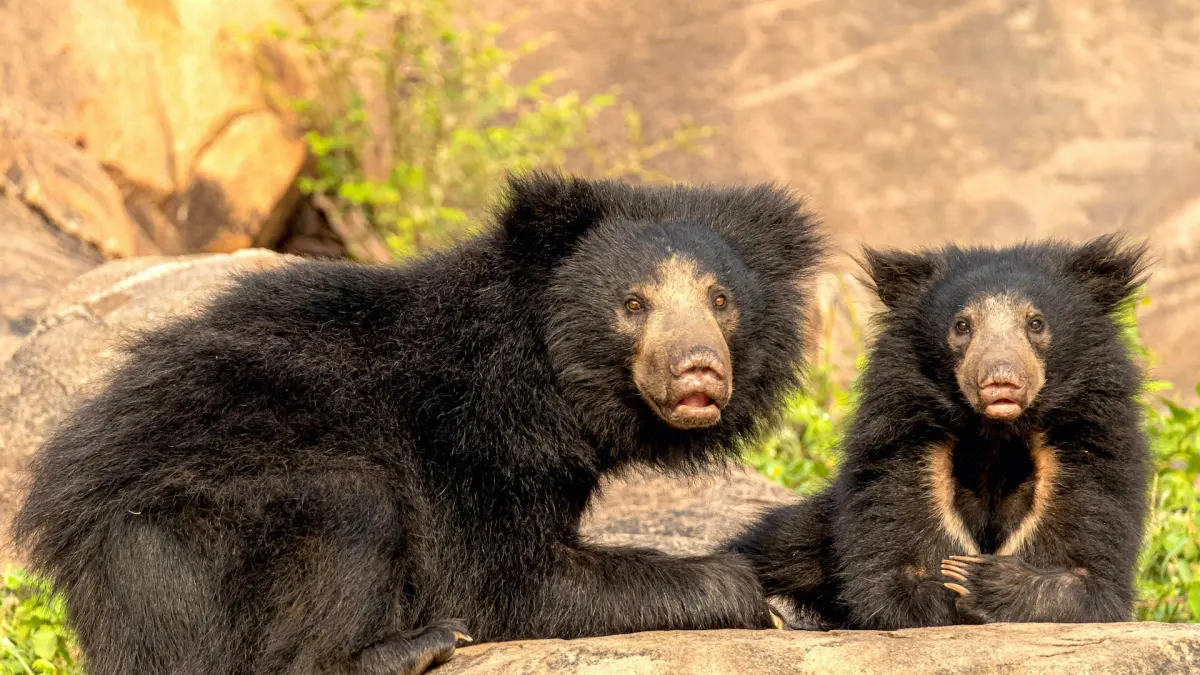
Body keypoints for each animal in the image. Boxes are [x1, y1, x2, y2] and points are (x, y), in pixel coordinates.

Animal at [12, 172, 824, 675]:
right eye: (633, 304)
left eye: (720, 300)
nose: (698, 371)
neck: (544, 374)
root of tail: (84, 565)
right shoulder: (473, 436)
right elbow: (505, 583)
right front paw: (754, 595)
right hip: (201, 528)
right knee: (351, 510)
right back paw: (408, 647)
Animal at [727, 235, 1152, 630]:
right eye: (962, 326)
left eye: (1036, 323)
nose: (1000, 381)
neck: (996, 435)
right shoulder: (905, 447)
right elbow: (888, 575)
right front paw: (953, 581)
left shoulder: (1086, 449)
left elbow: (1089, 576)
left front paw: (982, 580)